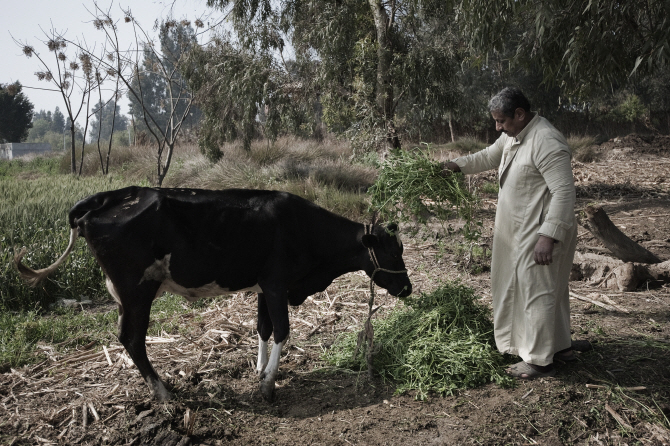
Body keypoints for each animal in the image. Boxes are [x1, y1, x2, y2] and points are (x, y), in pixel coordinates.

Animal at [15, 186, 412, 402]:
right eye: (394, 253)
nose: (407, 287)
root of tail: (107, 198)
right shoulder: (277, 283)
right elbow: (283, 331)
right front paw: (268, 384)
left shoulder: (263, 287)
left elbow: (263, 329)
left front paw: (259, 368)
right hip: (137, 290)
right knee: (132, 339)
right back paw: (162, 392)